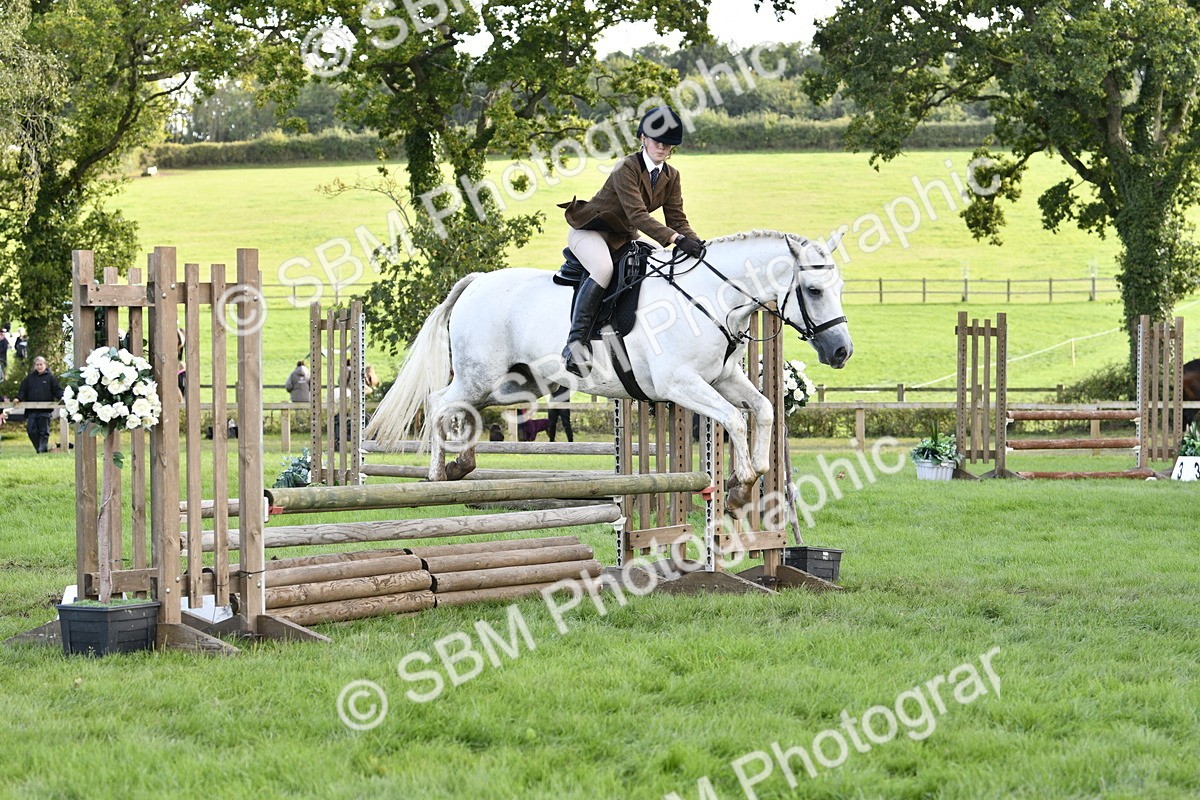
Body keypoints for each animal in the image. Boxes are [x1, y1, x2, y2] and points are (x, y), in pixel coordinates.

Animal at [365, 230, 854, 509]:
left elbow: (764, 409)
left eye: (840, 286)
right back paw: (436, 475)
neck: (711, 296)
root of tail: (477, 280)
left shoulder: (723, 378)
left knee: (466, 409)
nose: (841, 351)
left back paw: (462, 465)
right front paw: (741, 483)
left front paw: (745, 477)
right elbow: (734, 418)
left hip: (512, 383)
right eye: (813, 289)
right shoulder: (680, 383)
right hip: (479, 375)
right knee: (439, 402)